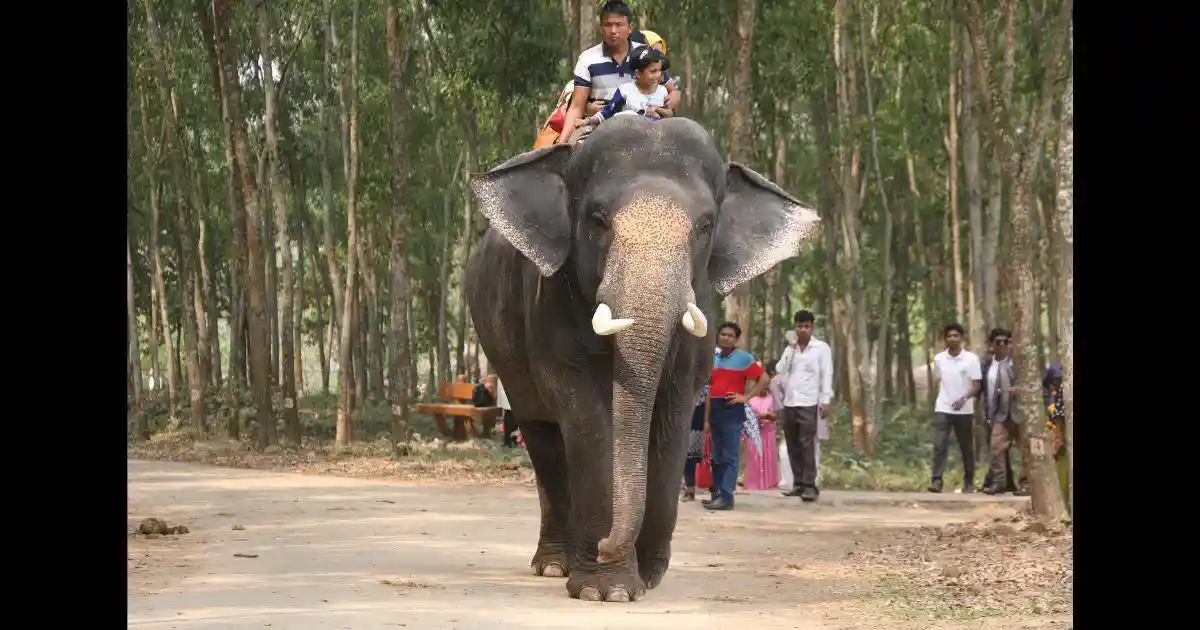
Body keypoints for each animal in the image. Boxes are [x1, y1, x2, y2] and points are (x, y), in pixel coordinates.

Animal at [465, 116, 820, 603]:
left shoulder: (701, 312)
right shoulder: (549, 300)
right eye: (597, 219)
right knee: (543, 438)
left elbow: (674, 409)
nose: (606, 544)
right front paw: (607, 589)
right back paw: (555, 564)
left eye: (705, 226)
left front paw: (647, 576)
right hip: (503, 355)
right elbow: (585, 410)